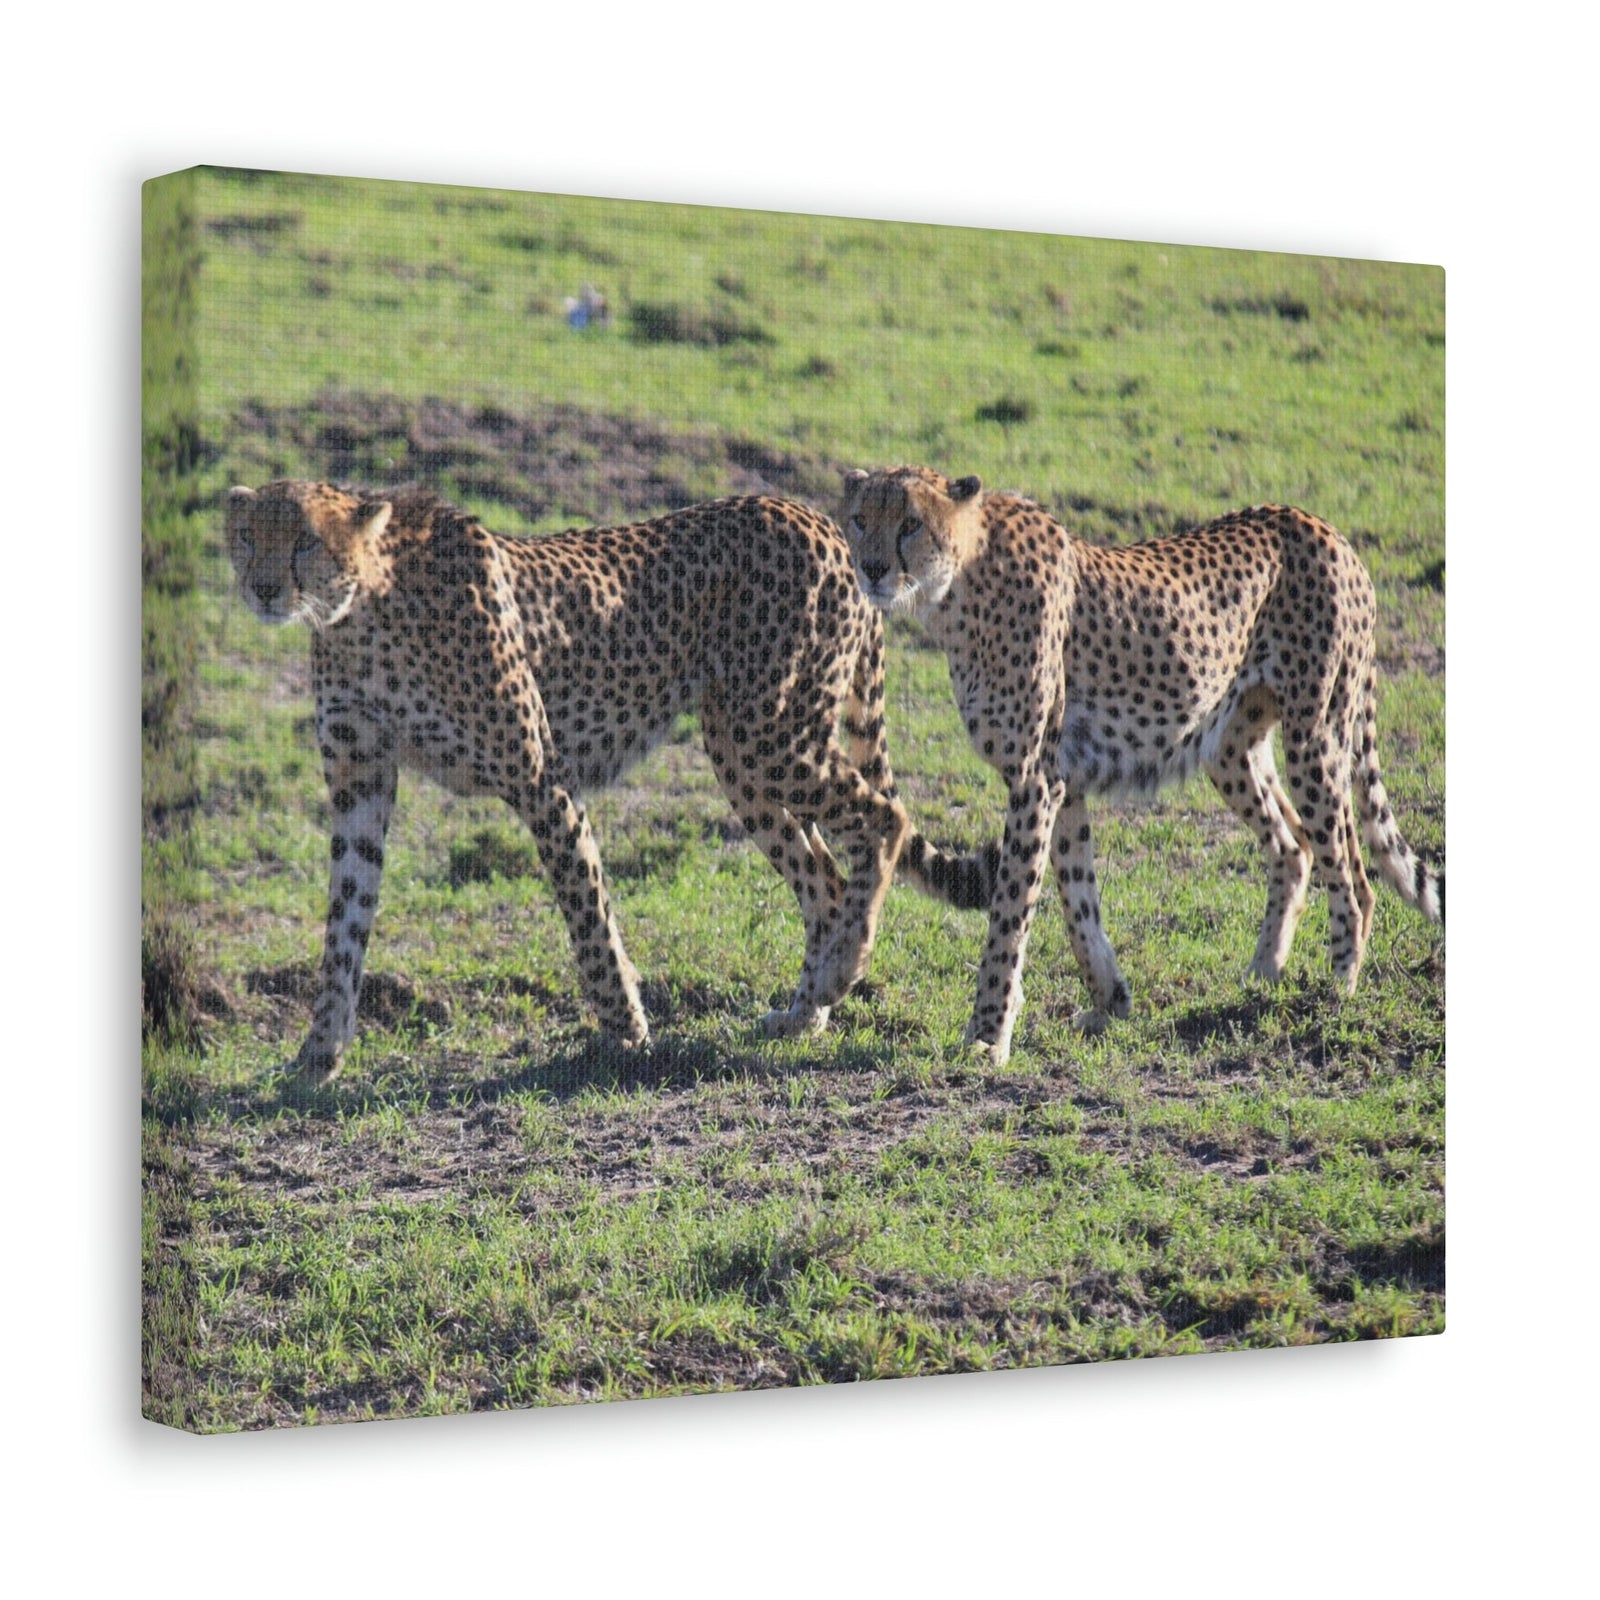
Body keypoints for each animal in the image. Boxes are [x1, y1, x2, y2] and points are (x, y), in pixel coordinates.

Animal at [225, 480, 992, 1084]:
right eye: (247, 535)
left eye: (304, 542)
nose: (263, 589)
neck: (359, 613)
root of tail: (818, 518)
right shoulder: (360, 784)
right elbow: (344, 923)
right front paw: (318, 1053)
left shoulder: (540, 777)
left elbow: (586, 909)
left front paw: (625, 1031)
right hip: (741, 755)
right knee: (826, 878)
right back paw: (805, 1013)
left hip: (771, 735)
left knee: (884, 818)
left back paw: (839, 972)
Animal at [840, 465, 1444, 1064]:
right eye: (860, 519)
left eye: (911, 523)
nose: (871, 569)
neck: (957, 585)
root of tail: (1323, 527)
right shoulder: (1064, 779)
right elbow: (1078, 900)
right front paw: (1110, 1002)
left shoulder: (1035, 779)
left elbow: (1011, 910)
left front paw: (989, 1032)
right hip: (1228, 745)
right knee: (1293, 846)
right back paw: (1263, 974)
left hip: (1316, 736)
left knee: (1353, 874)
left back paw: (1337, 990)